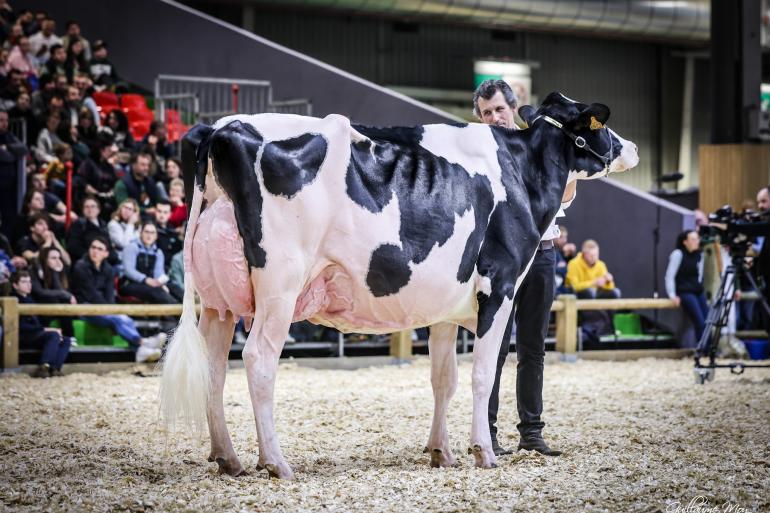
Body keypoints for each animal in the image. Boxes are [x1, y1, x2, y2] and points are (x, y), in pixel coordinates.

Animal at [160, 92, 636, 480]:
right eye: (598, 125)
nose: (630, 148)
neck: (522, 173)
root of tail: (221, 127)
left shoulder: (446, 304)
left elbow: (444, 378)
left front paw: (441, 452)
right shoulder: (499, 285)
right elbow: (483, 374)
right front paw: (483, 451)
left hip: (219, 297)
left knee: (214, 366)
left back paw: (228, 458)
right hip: (280, 283)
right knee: (258, 358)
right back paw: (275, 462)